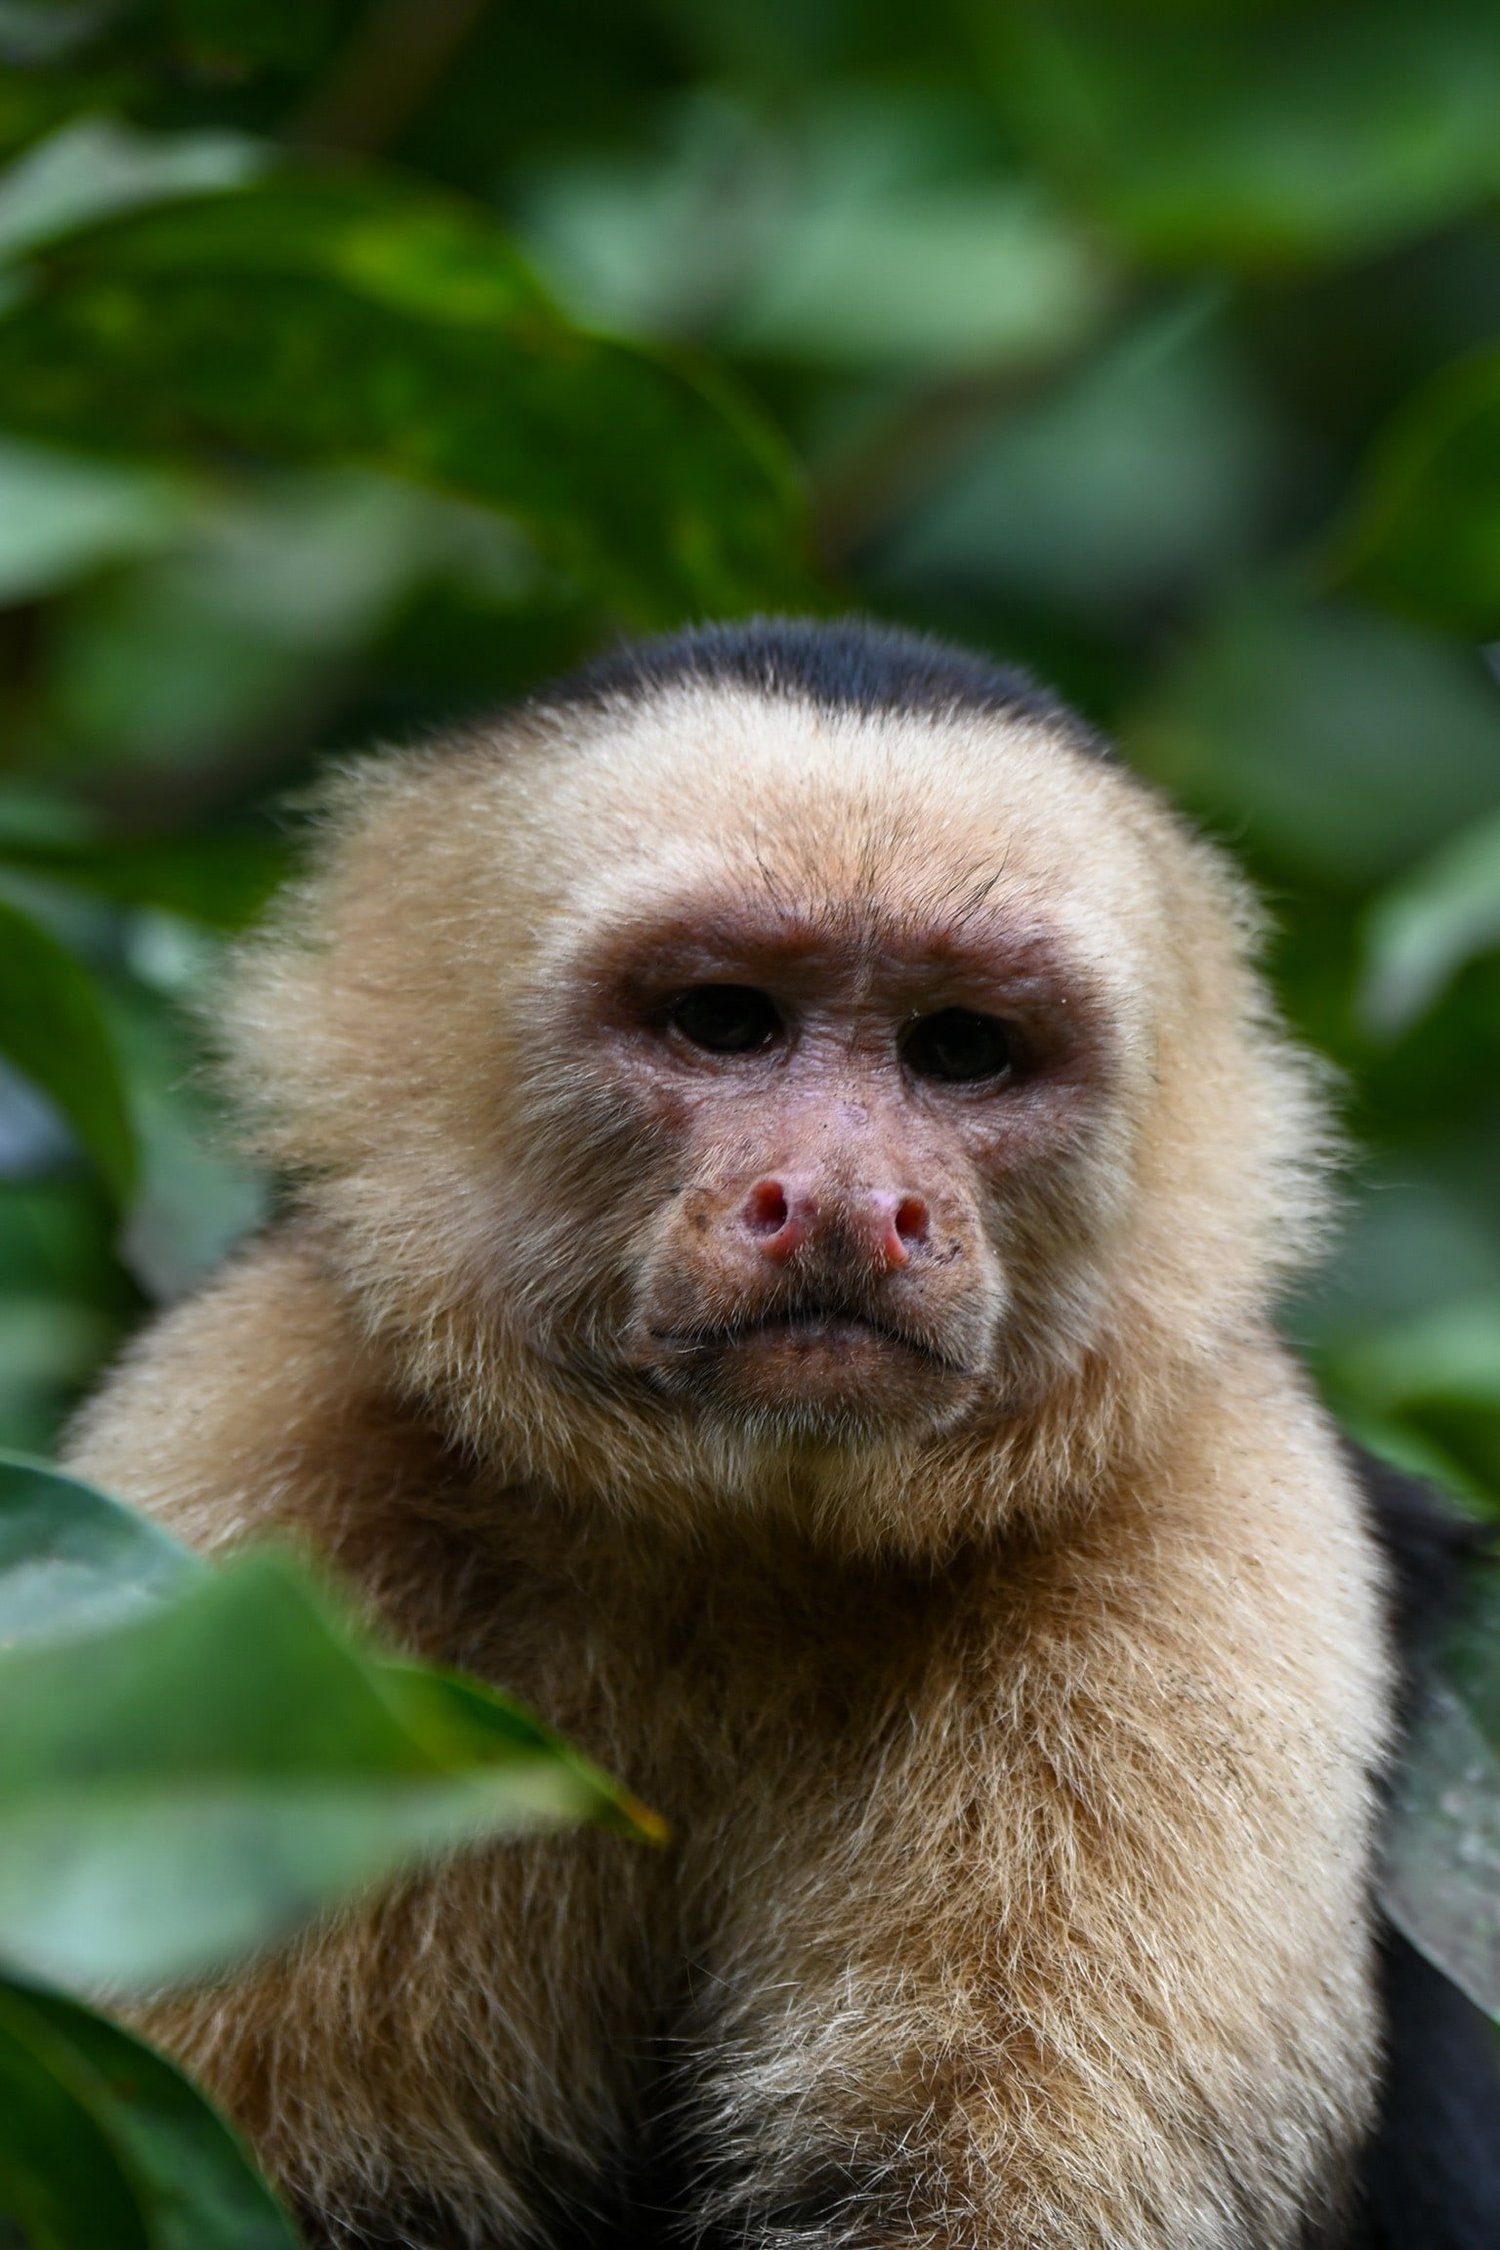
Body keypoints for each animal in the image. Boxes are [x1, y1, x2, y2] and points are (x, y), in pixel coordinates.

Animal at [59, 617, 1500, 2249]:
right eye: (725, 1020)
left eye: (962, 1049)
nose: (847, 1200)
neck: (743, 1542)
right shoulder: (253, 1440)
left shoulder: (1218, 1533)